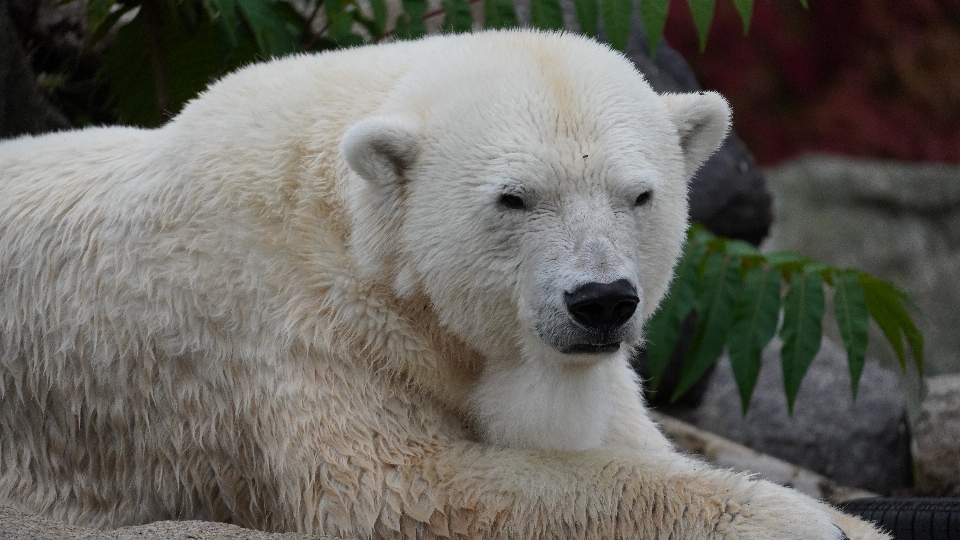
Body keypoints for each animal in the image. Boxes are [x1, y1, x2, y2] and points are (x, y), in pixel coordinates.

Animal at [0, 30, 884, 540]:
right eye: (515, 197)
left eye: (640, 195)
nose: (600, 301)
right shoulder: (302, 322)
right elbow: (410, 488)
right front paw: (792, 518)